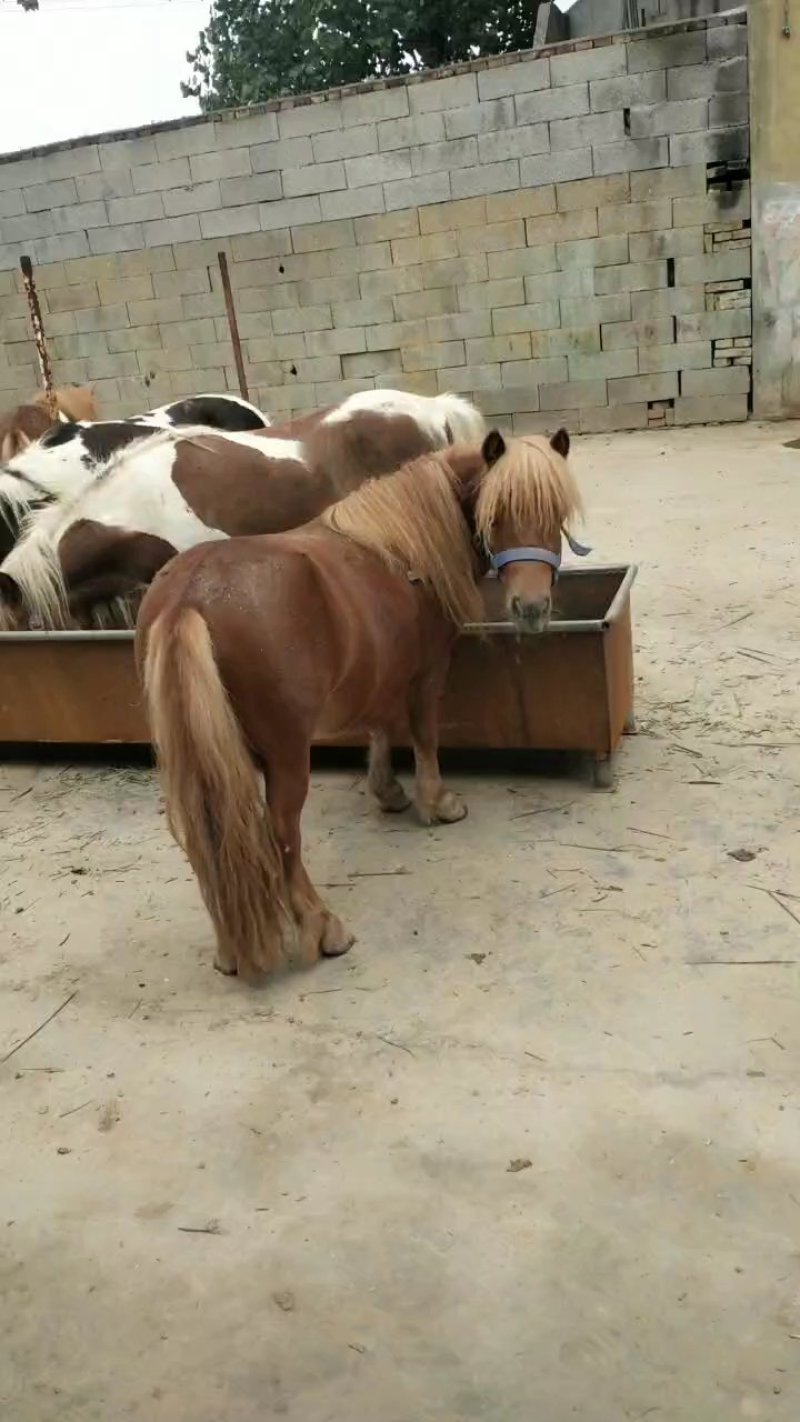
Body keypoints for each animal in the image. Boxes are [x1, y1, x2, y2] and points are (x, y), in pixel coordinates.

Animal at [136, 427, 581, 982]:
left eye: (556, 512)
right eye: (494, 514)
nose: (532, 608)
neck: (400, 547)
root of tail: (188, 598)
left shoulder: (381, 669)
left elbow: (379, 725)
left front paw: (388, 790)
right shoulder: (427, 671)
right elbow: (422, 734)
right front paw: (437, 802)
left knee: (208, 834)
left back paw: (229, 949)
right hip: (286, 756)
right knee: (281, 833)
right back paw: (322, 926)